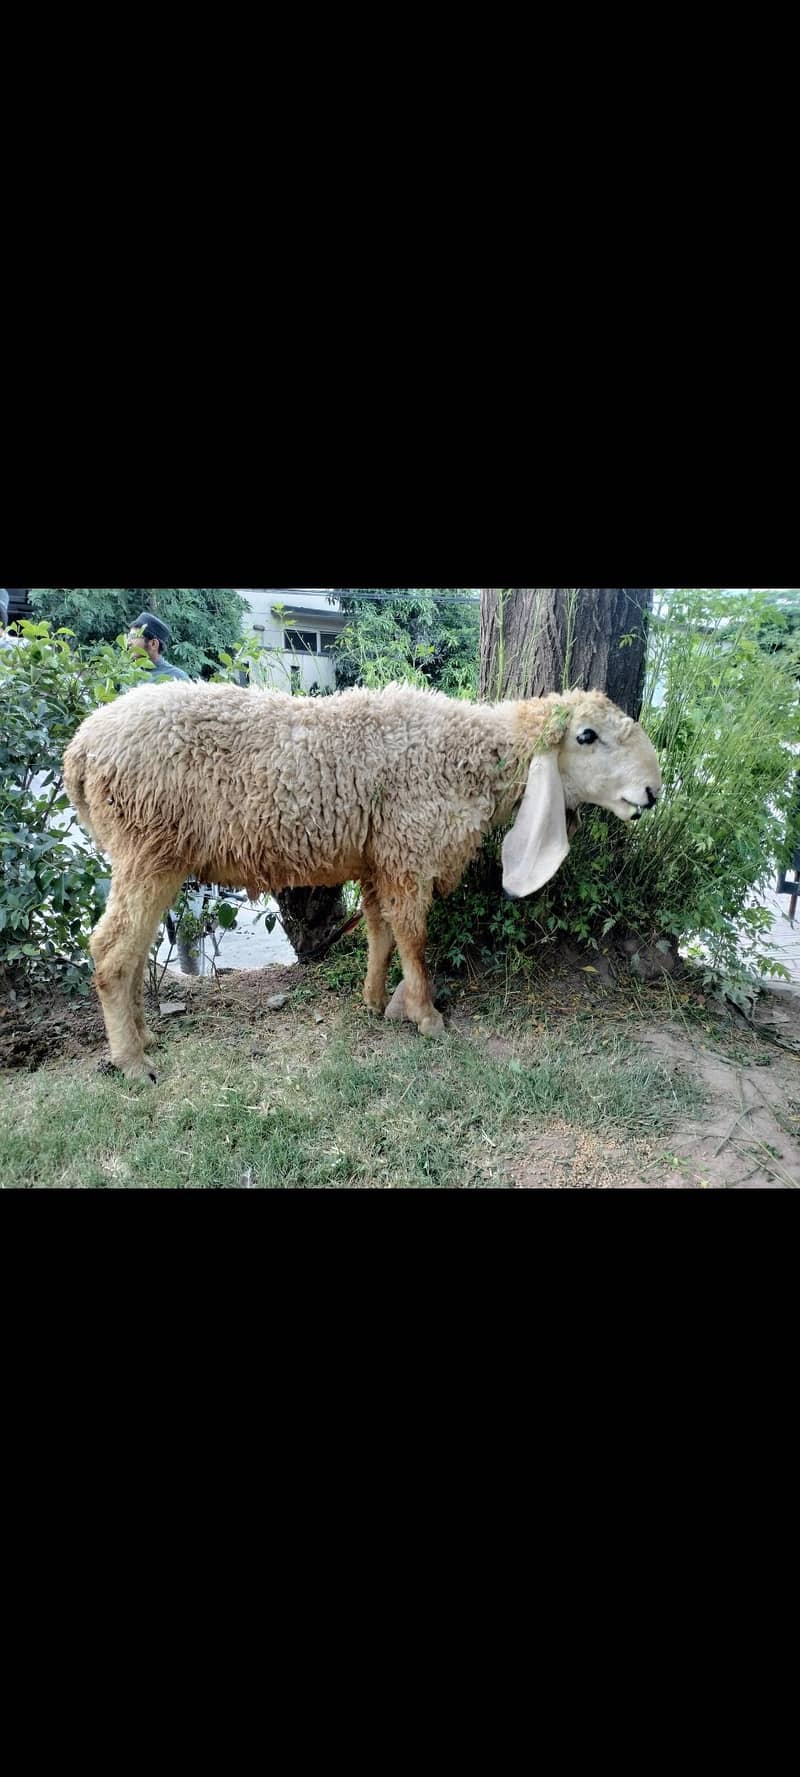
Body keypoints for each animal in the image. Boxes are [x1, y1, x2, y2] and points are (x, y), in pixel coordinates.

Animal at [63, 680, 662, 1080]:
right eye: (587, 736)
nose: (652, 792)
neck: (466, 755)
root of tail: (81, 748)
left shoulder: (379, 857)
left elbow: (380, 932)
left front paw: (374, 1001)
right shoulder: (409, 850)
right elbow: (414, 939)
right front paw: (427, 1017)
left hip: (152, 853)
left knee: (133, 949)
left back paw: (144, 1035)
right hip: (147, 847)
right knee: (112, 949)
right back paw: (132, 1061)